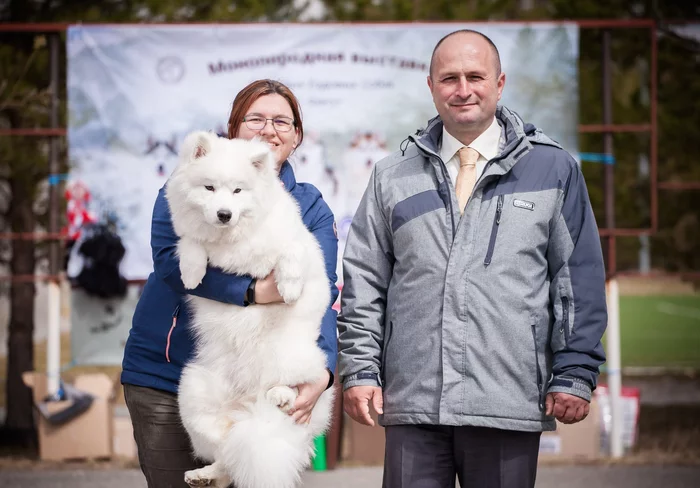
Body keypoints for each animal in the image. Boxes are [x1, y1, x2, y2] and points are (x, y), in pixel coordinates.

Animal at [168, 131, 334, 488]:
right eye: (209, 188)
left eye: (238, 191)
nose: (224, 214)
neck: (233, 237)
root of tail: (248, 400)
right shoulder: (192, 236)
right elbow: (190, 243)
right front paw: (191, 274)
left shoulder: (298, 244)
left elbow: (290, 254)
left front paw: (290, 288)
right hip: (192, 394)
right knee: (227, 452)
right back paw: (204, 475)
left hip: (293, 358)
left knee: (295, 384)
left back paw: (281, 396)